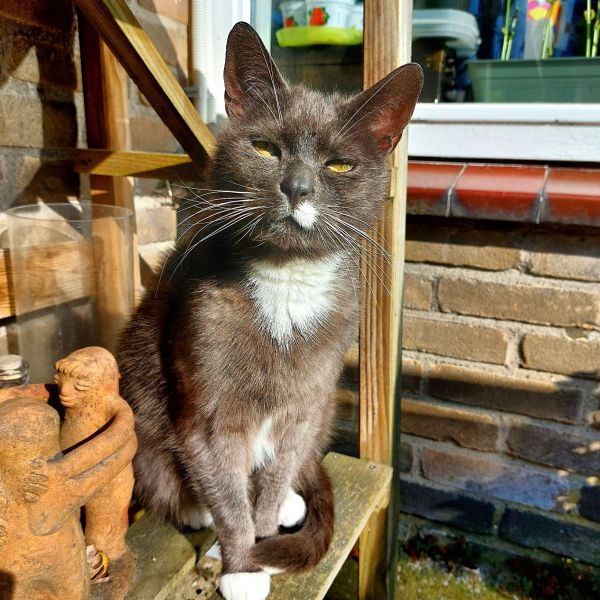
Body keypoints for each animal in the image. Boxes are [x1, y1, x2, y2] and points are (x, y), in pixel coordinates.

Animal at [117, 22, 422, 600]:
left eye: (339, 163)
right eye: (265, 148)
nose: (297, 187)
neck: (286, 282)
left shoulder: (305, 404)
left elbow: (274, 478)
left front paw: (262, 546)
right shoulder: (209, 415)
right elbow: (229, 496)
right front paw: (242, 566)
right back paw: (196, 511)